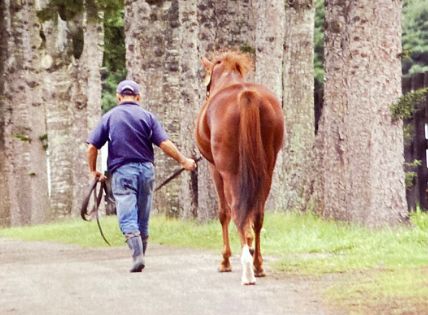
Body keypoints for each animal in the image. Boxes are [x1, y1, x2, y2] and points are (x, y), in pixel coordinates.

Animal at [196, 51, 284, 286]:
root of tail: (246, 95)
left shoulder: (214, 169)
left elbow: (223, 213)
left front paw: (225, 260)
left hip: (229, 172)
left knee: (235, 211)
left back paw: (246, 267)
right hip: (266, 171)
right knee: (258, 213)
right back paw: (258, 264)